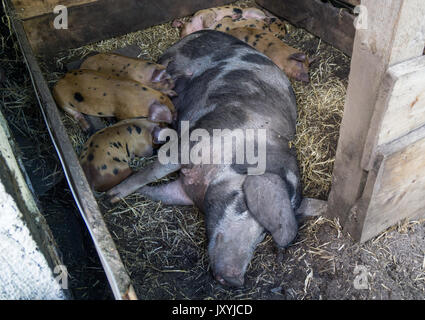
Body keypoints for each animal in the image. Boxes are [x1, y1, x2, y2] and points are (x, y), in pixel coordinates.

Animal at [108, 30, 302, 288]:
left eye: (263, 233)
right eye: (243, 204)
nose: (234, 279)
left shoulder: (184, 190)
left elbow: (160, 193)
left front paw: (127, 195)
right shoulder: (190, 143)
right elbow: (152, 172)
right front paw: (111, 196)